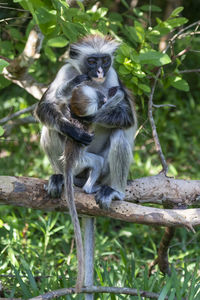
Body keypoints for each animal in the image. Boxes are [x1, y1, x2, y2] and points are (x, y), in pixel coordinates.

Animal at [35, 33, 137, 209]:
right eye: (92, 61)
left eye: (105, 60)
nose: (100, 71)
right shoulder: (65, 71)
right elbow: (44, 107)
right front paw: (73, 130)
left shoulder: (112, 75)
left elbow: (127, 116)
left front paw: (85, 117)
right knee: (51, 129)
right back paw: (60, 177)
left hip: (104, 172)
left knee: (119, 134)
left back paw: (115, 191)